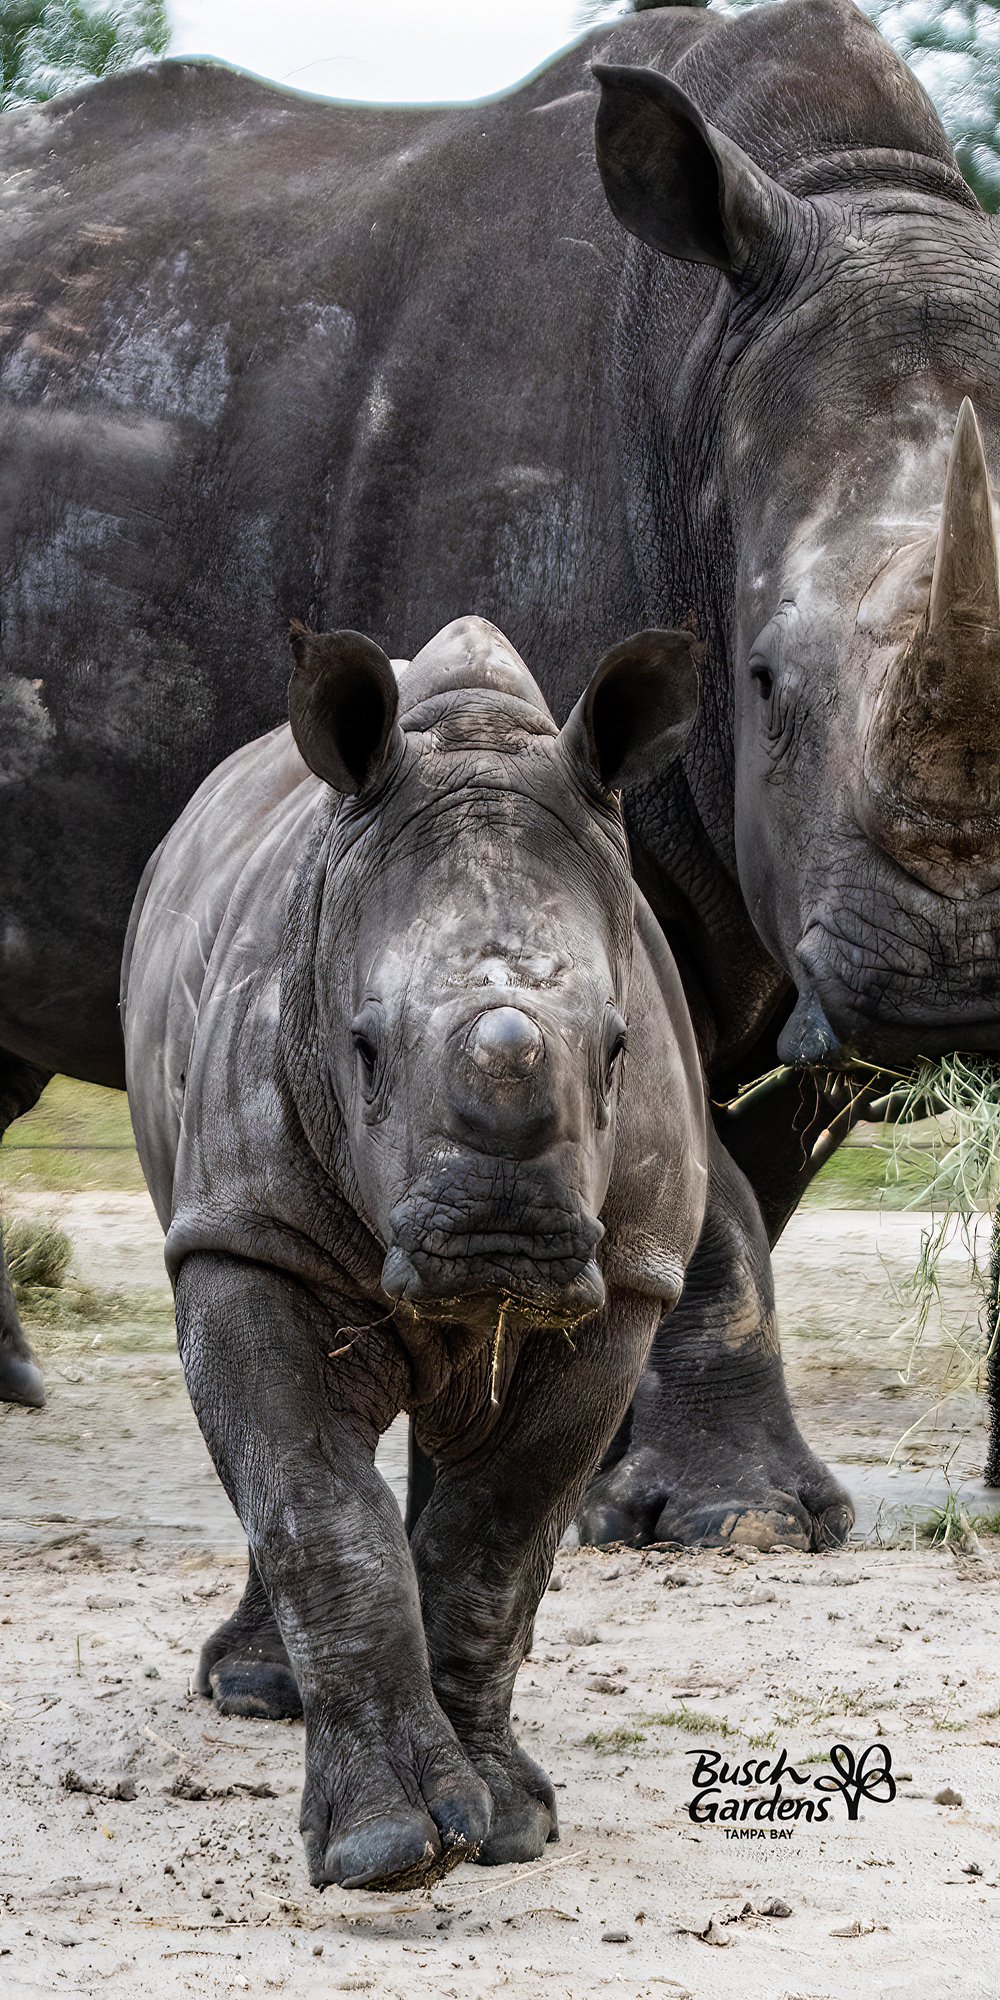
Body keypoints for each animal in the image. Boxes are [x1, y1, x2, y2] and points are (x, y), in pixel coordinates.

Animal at [2, 0, 1000, 1562]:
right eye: (763, 680)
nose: (958, 992)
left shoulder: (797, 909)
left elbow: (729, 1173)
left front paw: (604, 1474)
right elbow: (717, 1187)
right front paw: (734, 1522)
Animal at [121, 616, 708, 1888]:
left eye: (617, 1047)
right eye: (363, 1048)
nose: (500, 1241)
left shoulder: (627, 1277)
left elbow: (501, 1529)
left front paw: (505, 1822)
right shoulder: (246, 1233)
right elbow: (314, 1505)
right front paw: (388, 1847)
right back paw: (257, 1690)